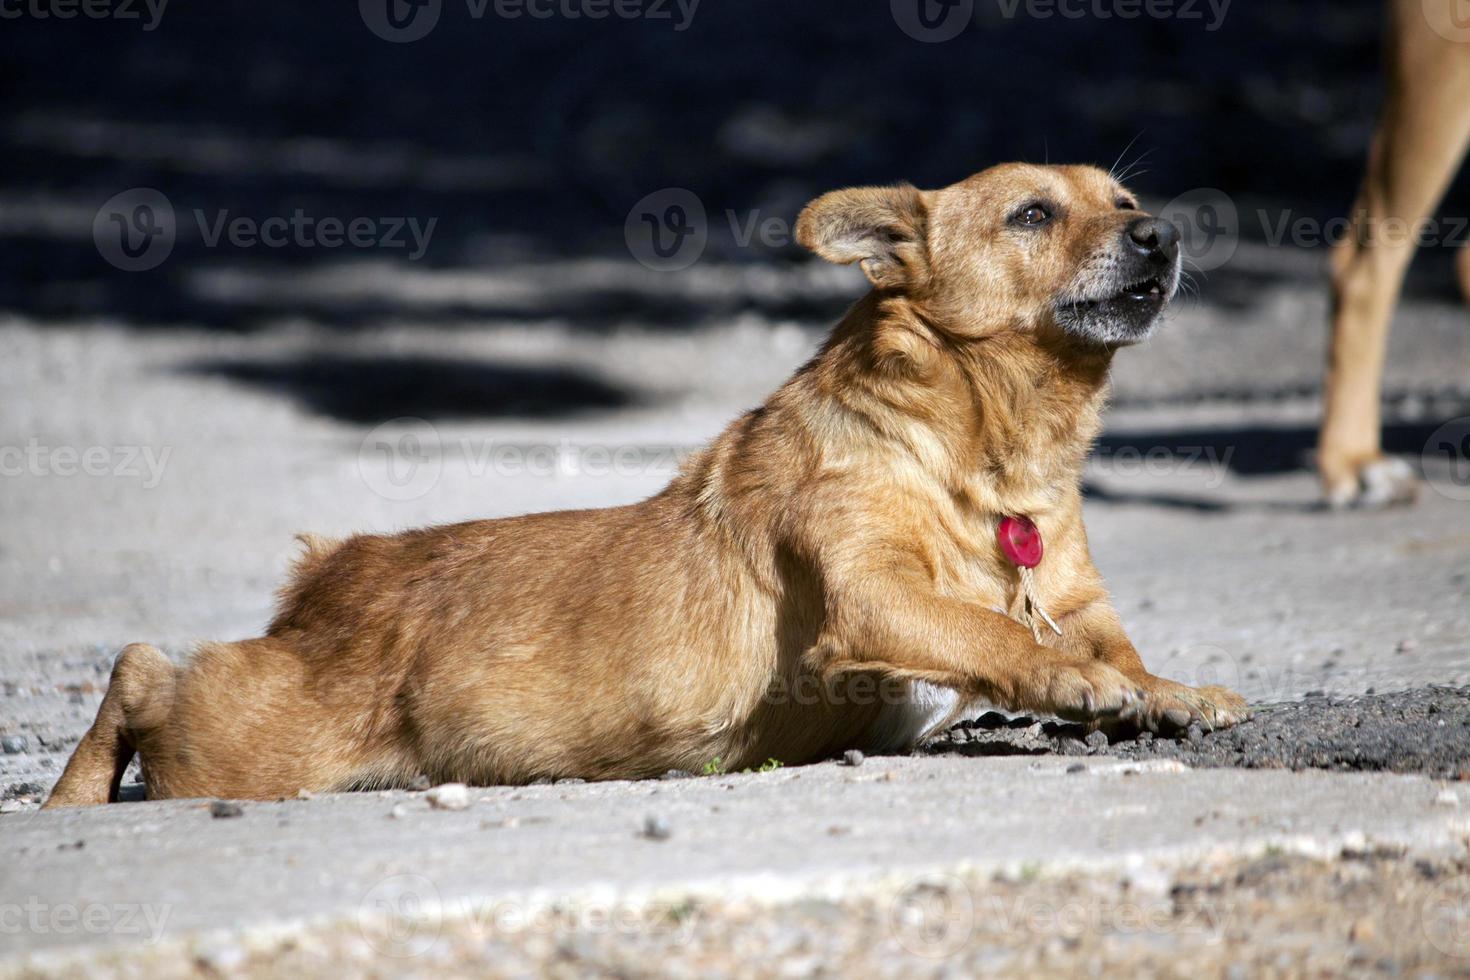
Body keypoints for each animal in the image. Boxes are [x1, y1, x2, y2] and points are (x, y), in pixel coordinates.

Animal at [45, 164, 1246, 811]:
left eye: (1126, 197)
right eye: (1033, 214)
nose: (1163, 231)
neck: (998, 455)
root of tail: (335, 566)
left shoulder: (1074, 594)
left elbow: (1109, 643)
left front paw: (1169, 690)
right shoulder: (872, 601)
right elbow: (999, 633)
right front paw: (1077, 681)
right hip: (250, 746)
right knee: (144, 667)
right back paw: (69, 795)